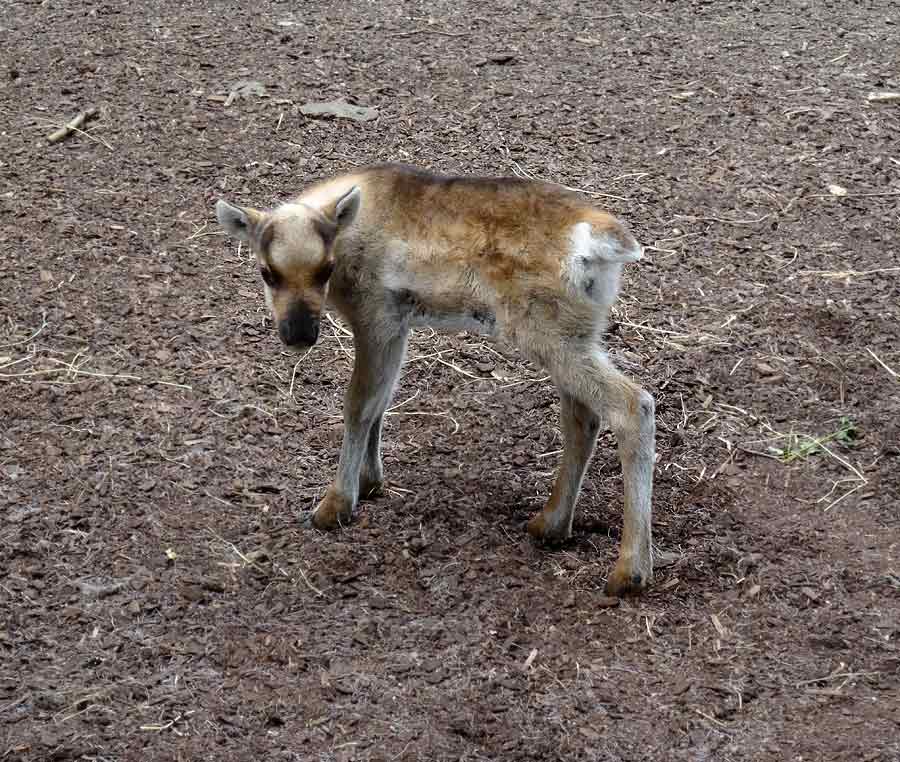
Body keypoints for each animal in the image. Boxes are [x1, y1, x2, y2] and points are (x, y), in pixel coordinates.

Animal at [215, 165, 656, 592]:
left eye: (325, 269)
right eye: (267, 272)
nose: (300, 334)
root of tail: (604, 243)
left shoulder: (376, 315)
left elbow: (359, 403)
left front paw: (335, 504)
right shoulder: (399, 324)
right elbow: (382, 400)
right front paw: (370, 481)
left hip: (544, 332)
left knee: (633, 404)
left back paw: (629, 571)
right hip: (576, 334)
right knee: (583, 418)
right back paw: (550, 524)